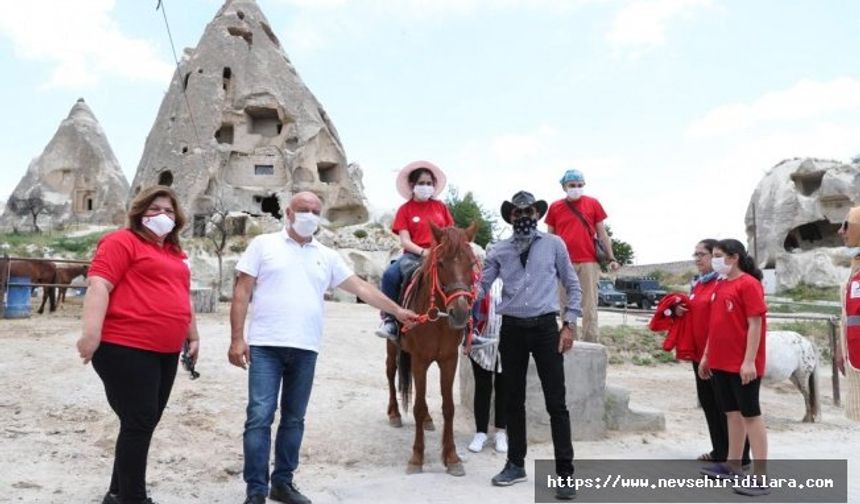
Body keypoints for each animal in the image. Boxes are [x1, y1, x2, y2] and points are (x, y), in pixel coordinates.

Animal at [386, 223, 480, 476]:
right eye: (441, 263)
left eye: (471, 263)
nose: (460, 313)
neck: (437, 319)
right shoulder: (419, 360)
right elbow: (417, 407)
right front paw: (417, 458)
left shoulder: (449, 360)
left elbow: (448, 407)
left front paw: (452, 458)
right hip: (392, 347)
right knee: (390, 374)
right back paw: (394, 413)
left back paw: (428, 419)